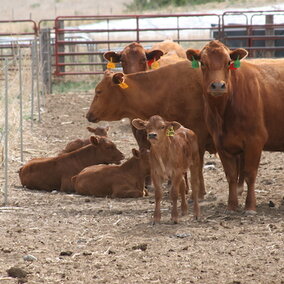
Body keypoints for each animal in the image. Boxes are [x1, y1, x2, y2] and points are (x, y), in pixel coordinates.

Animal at [86, 60, 215, 199]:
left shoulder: (199, 134)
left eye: (99, 91)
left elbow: (198, 164)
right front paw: (184, 189)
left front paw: (200, 191)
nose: (88, 114)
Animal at [185, 40, 284, 213]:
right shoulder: (221, 143)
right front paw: (232, 205)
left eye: (228, 62)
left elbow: (250, 174)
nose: (218, 85)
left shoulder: (255, 140)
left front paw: (250, 206)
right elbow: (231, 175)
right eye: (203, 63)